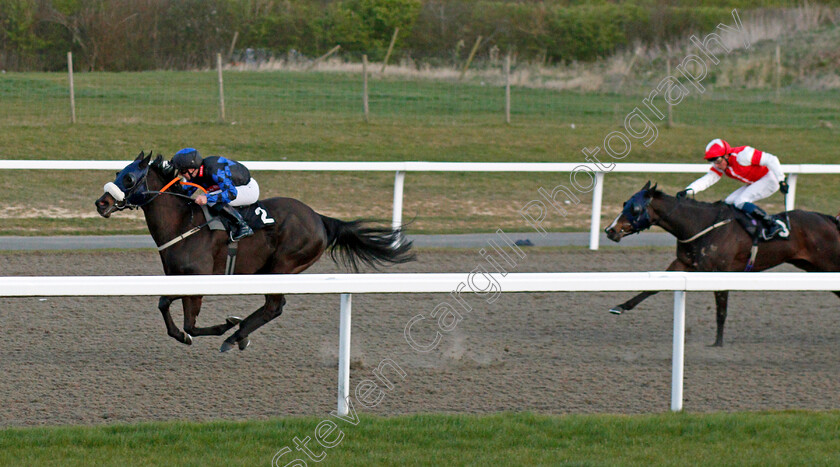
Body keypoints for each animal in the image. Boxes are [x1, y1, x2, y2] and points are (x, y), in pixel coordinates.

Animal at [93, 152, 416, 352]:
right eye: (118, 172)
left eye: (129, 179)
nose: (101, 203)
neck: (183, 221)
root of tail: (319, 218)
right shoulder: (177, 278)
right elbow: (165, 307)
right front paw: (186, 336)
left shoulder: (199, 278)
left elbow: (190, 324)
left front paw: (224, 325)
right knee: (273, 306)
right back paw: (240, 334)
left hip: (283, 265)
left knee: (275, 306)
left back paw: (236, 335)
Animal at [604, 183, 840, 348]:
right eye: (624, 203)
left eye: (635, 208)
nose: (610, 230)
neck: (699, 225)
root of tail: (829, 220)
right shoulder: (684, 263)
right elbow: (652, 288)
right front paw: (621, 306)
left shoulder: (721, 271)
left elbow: (721, 310)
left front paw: (718, 342)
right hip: (815, 268)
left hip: (828, 264)